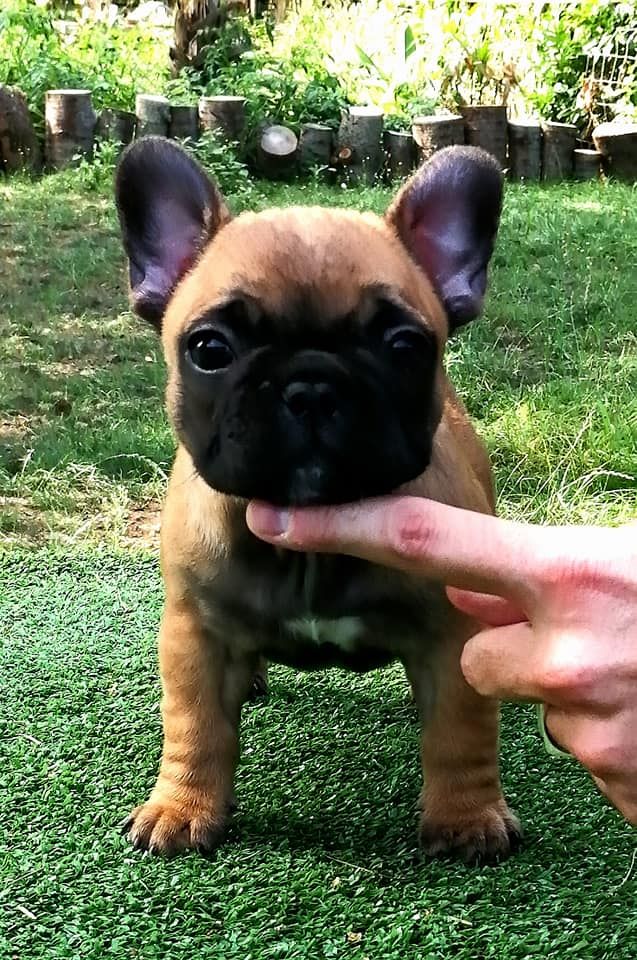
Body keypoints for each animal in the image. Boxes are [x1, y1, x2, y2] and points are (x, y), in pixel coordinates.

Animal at [117, 139, 520, 868]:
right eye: (209, 348)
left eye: (404, 346)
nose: (310, 387)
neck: (311, 542)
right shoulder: (194, 634)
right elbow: (195, 728)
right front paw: (182, 808)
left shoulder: (452, 636)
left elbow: (459, 732)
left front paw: (467, 817)